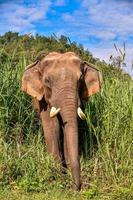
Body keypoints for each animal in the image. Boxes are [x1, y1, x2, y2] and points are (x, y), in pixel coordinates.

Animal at [21, 51, 102, 191]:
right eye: (47, 81)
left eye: (80, 80)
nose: (75, 189)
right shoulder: (44, 101)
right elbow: (52, 126)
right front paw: (57, 175)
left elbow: (69, 127)